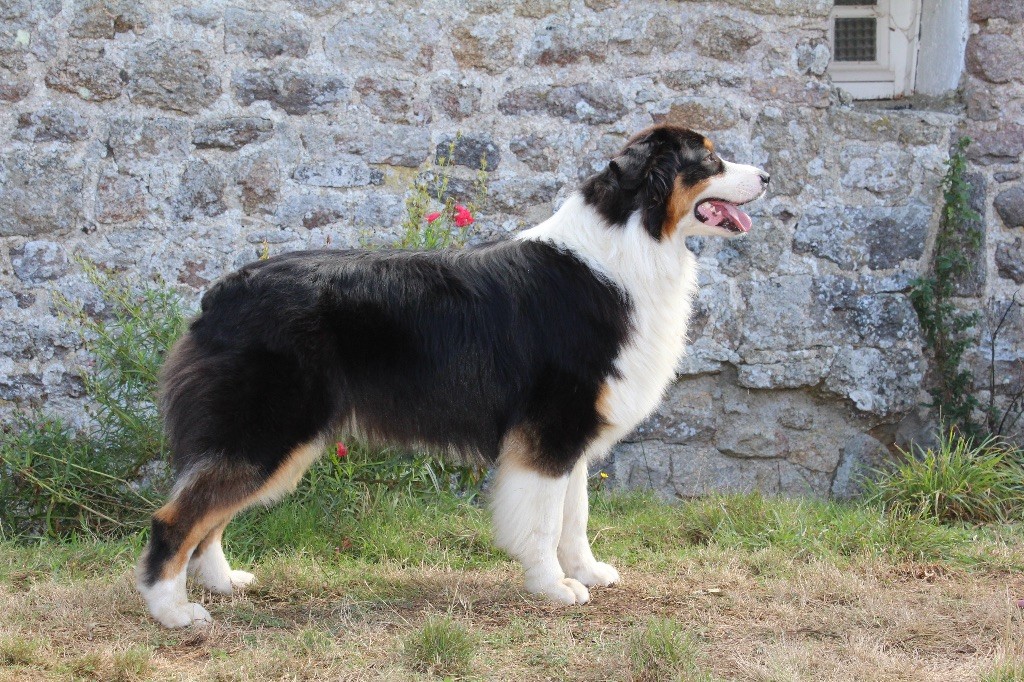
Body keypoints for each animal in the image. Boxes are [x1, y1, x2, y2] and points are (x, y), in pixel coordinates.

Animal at [136, 124, 769, 627]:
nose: (766, 175)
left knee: (209, 516)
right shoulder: (550, 430)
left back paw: (223, 582)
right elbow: (544, 520)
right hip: (264, 431)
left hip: (269, 439)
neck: (633, 238)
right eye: (709, 159)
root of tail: (220, 293)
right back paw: (174, 613)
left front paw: (587, 572)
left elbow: (576, 515)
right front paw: (553, 587)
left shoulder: (573, 432)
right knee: (175, 517)